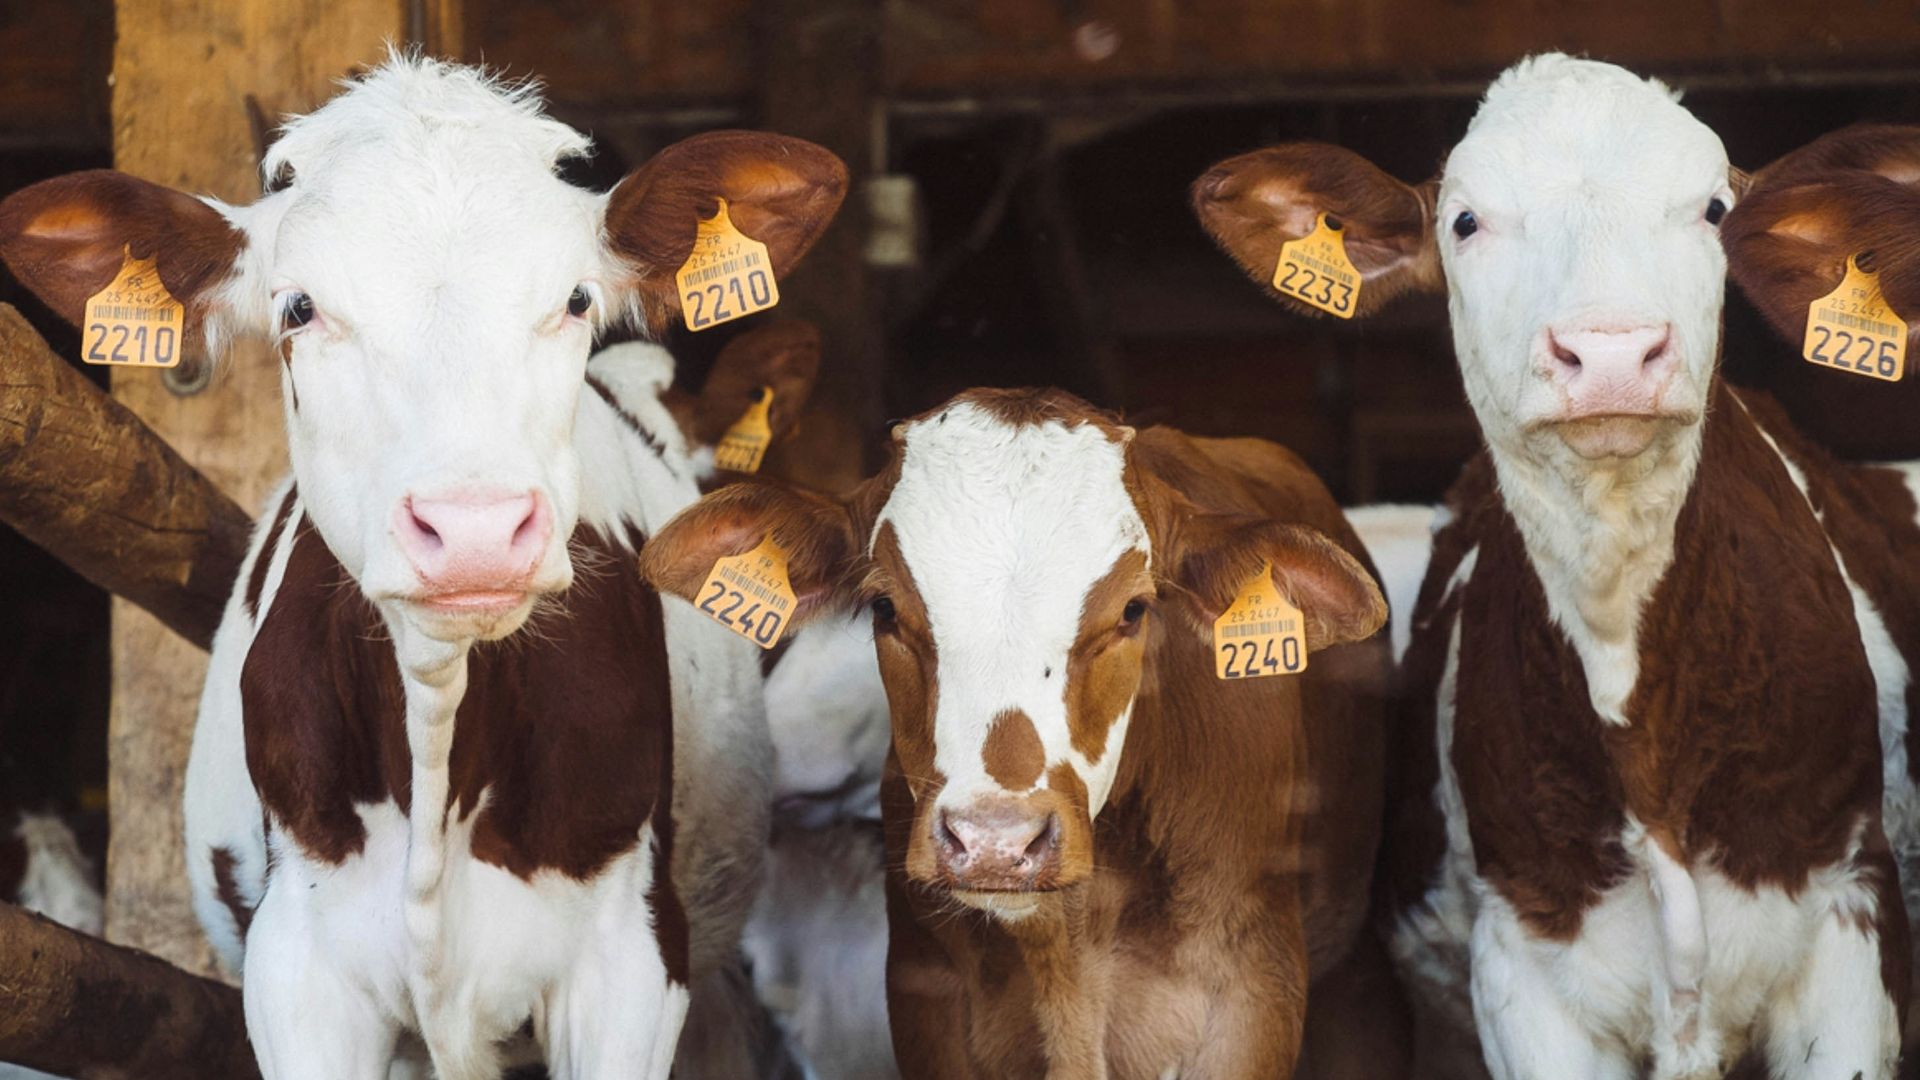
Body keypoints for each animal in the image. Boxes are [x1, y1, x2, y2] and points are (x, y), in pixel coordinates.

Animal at [639, 385, 1405, 1078]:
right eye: (883, 607)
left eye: (1133, 610)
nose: (996, 843)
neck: (1067, 947)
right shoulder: (925, 1001)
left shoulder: (1251, 1000)